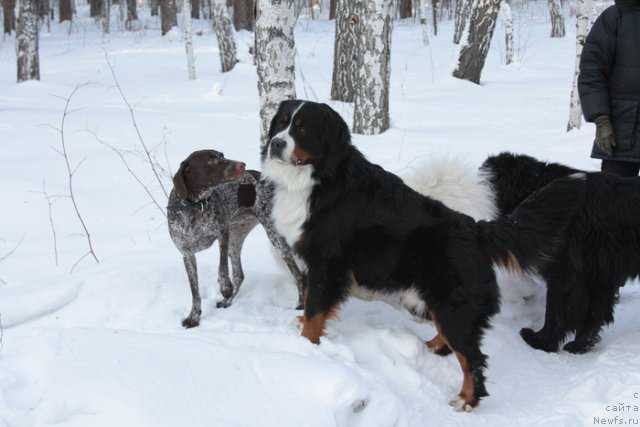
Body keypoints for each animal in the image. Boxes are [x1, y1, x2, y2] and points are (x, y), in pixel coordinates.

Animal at [168, 149, 302, 330]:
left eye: (222, 155)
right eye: (211, 160)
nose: (242, 164)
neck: (195, 206)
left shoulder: (223, 233)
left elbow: (222, 266)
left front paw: (225, 286)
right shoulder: (187, 254)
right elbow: (195, 292)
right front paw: (194, 317)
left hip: (275, 239)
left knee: (299, 276)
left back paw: (300, 305)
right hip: (236, 238)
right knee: (239, 275)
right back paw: (227, 301)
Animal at [260, 100, 584, 412]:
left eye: (302, 128)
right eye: (281, 122)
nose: (275, 143)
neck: (318, 178)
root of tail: (477, 230)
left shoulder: (327, 263)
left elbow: (316, 310)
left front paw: (307, 349)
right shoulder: (313, 263)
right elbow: (308, 300)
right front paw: (301, 326)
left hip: (454, 305)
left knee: (473, 358)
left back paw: (467, 400)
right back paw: (427, 348)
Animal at [480, 153, 640, 354]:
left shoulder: (565, 273)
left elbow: (556, 311)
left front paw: (541, 341)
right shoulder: (598, 276)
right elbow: (594, 315)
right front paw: (580, 345)